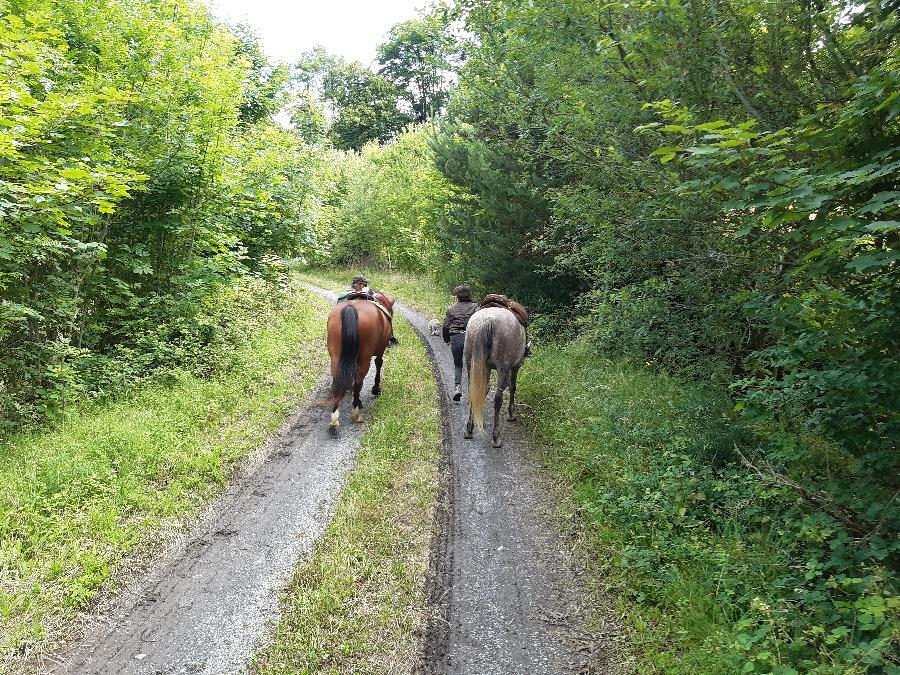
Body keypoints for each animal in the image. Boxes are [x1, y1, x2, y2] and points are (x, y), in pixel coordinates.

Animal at [326, 300, 390, 430]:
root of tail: (351, 307)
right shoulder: (381, 349)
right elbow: (379, 364)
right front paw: (376, 390)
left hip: (335, 354)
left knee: (336, 381)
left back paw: (334, 417)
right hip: (365, 356)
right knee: (358, 382)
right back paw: (355, 413)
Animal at [464, 308, 528, 448]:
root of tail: (488, 321)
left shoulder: (485, 368)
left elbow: (483, 390)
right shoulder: (515, 367)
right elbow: (513, 387)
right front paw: (511, 414)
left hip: (471, 364)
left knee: (472, 392)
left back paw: (469, 429)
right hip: (503, 368)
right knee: (498, 399)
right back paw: (496, 437)